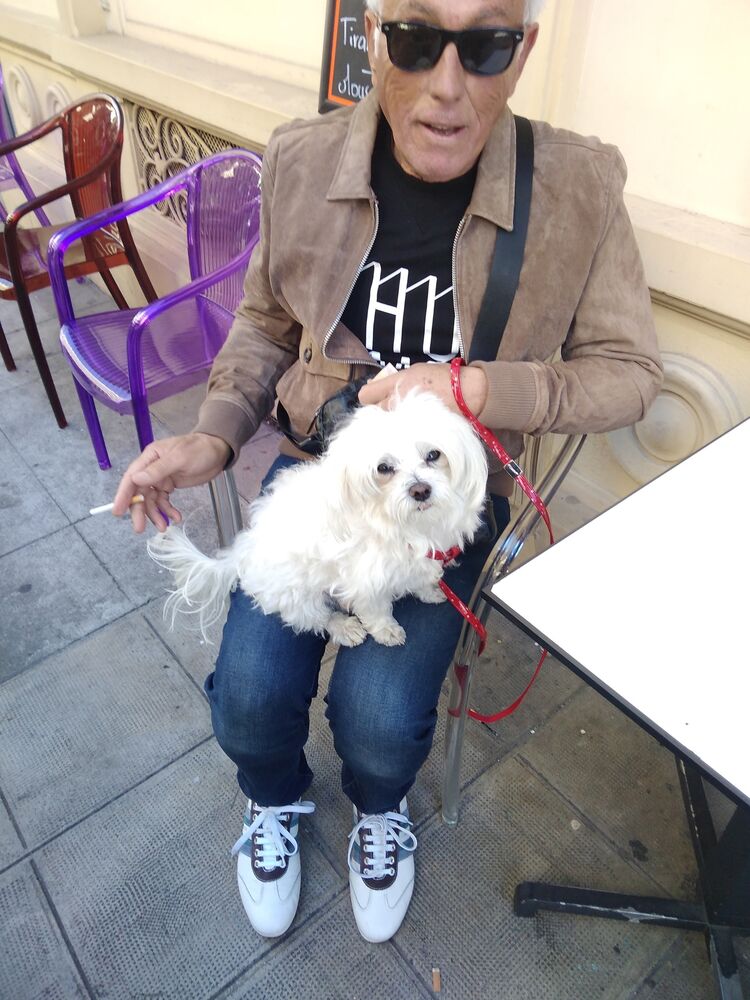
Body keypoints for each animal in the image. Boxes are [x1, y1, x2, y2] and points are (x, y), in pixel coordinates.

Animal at [148, 390, 488, 647]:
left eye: (433, 455)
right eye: (384, 468)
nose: (421, 490)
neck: (404, 522)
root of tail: (242, 550)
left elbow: (420, 576)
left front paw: (429, 590)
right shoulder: (365, 579)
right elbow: (375, 609)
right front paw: (386, 630)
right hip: (296, 592)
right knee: (312, 617)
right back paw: (344, 627)